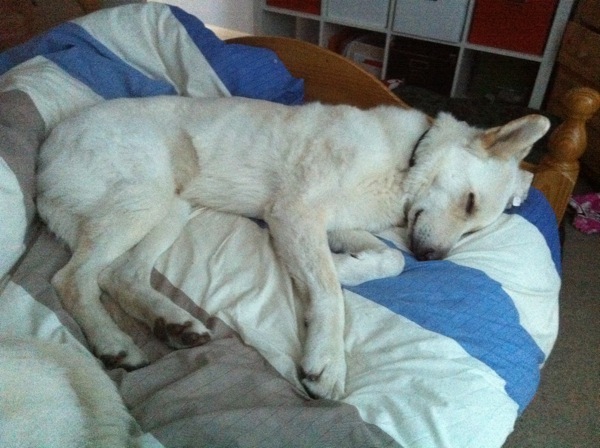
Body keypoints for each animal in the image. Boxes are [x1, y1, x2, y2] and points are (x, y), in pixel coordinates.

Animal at [36, 96, 550, 399]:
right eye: (469, 202)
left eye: (472, 231)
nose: (433, 260)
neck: (405, 159)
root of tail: (49, 145)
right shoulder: (296, 213)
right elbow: (328, 292)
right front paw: (327, 358)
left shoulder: (337, 224)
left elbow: (389, 259)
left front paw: (347, 269)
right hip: (146, 198)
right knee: (72, 277)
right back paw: (113, 343)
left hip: (173, 208)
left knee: (118, 275)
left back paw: (173, 322)